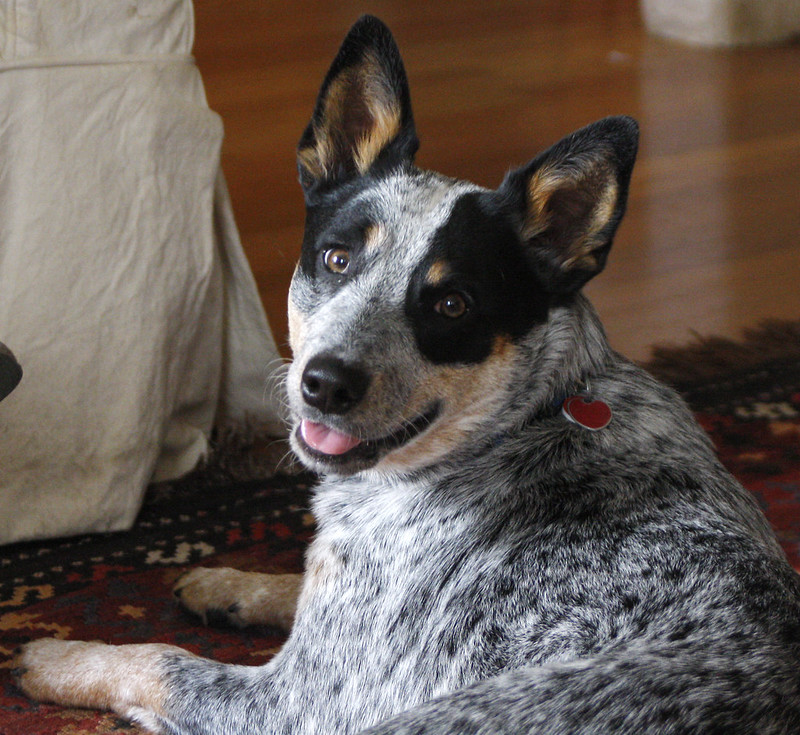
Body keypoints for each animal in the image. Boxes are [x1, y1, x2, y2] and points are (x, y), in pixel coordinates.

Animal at [12, 14, 800, 732]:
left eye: (452, 304)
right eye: (336, 258)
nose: (325, 383)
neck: (518, 424)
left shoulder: (295, 706)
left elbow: (159, 658)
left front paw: (55, 654)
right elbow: (300, 581)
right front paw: (228, 582)